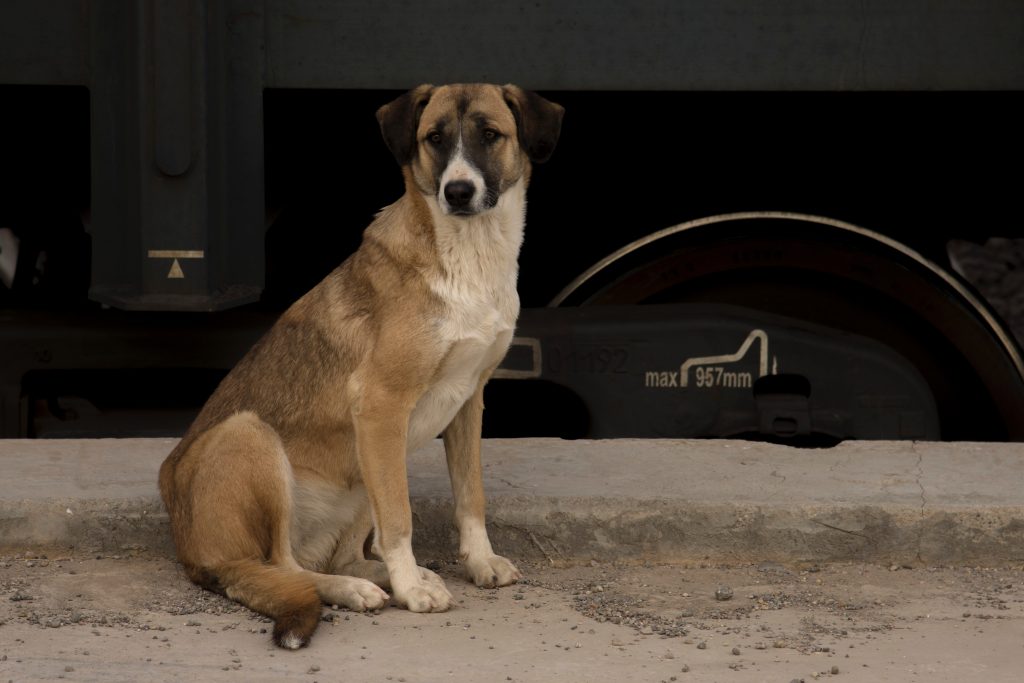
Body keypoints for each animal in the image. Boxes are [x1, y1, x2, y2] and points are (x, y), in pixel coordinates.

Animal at [156, 82, 565, 651]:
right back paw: (363, 587)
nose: (458, 192)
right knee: (288, 568)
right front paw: (412, 592)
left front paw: (477, 562)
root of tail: (196, 554)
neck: (468, 257)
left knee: (334, 557)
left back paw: (377, 578)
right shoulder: (379, 405)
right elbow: (400, 519)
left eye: (490, 135)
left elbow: (471, 495)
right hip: (251, 435)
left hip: (360, 471)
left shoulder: (469, 399)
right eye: (434, 138)